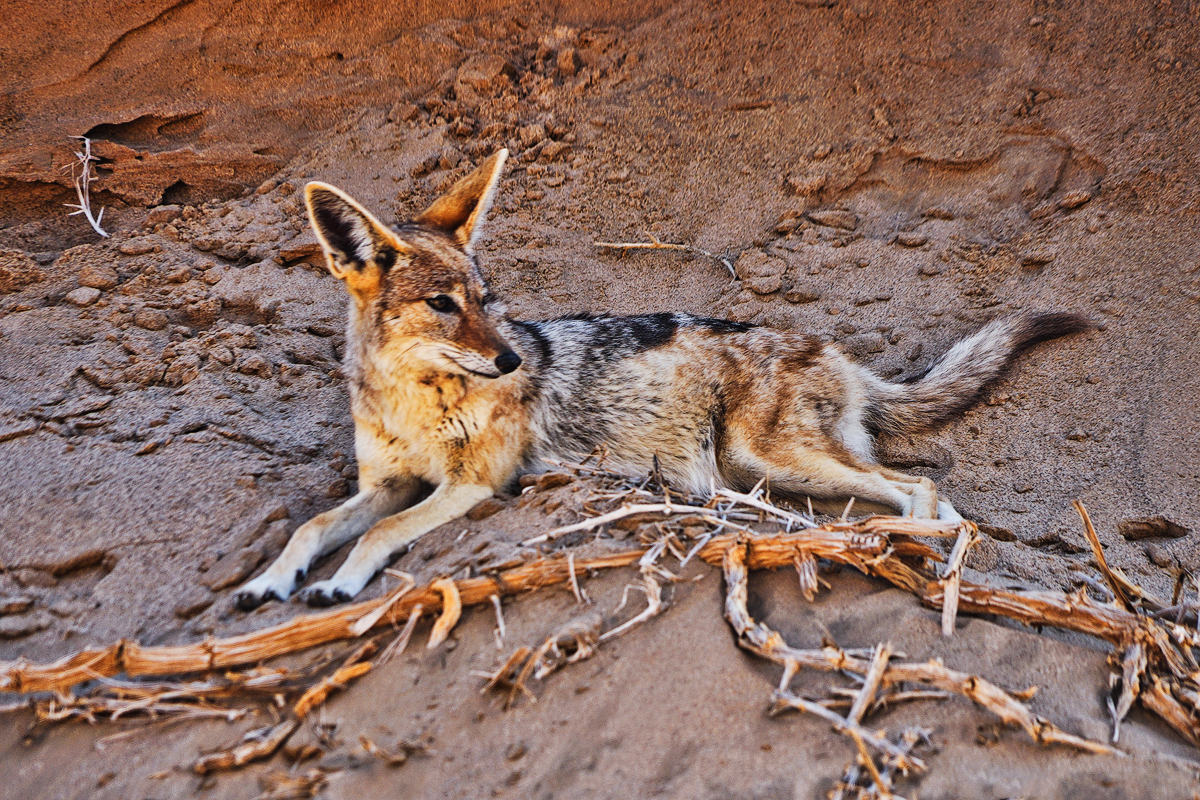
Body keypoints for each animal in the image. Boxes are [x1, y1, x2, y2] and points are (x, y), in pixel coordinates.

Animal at [233, 148, 1091, 610]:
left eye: (487, 300)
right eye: (444, 306)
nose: (512, 359)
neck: (412, 405)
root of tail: (839, 353)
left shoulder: (474, 485)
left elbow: (378, 534)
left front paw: (336, 587)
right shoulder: (387, 481)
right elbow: (314, 526)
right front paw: (270, 581)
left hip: (766, 461)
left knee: (922, 492)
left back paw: (909, 551)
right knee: (923, 494)